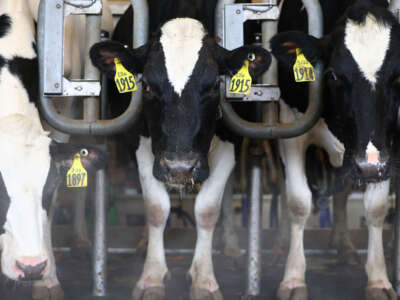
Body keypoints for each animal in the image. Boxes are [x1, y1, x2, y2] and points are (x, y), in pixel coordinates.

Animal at [90, 1, 272, 298]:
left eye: (214, 85)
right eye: (147, 85)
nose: (179, 168)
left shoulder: (231, 140)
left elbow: (207, 210)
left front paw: (204, 280)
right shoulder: (141, 141)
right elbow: (156, 208)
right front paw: (151, 277)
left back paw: (231, 244)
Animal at [272, 0, 400, 298]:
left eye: (399, 76)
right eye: (333, 74)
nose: (369, 166)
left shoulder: (384, 150)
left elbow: (376, 208)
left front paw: (379, 280)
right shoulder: (290, 124)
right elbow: (298, 202)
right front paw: (293, 279)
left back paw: (344, 245)